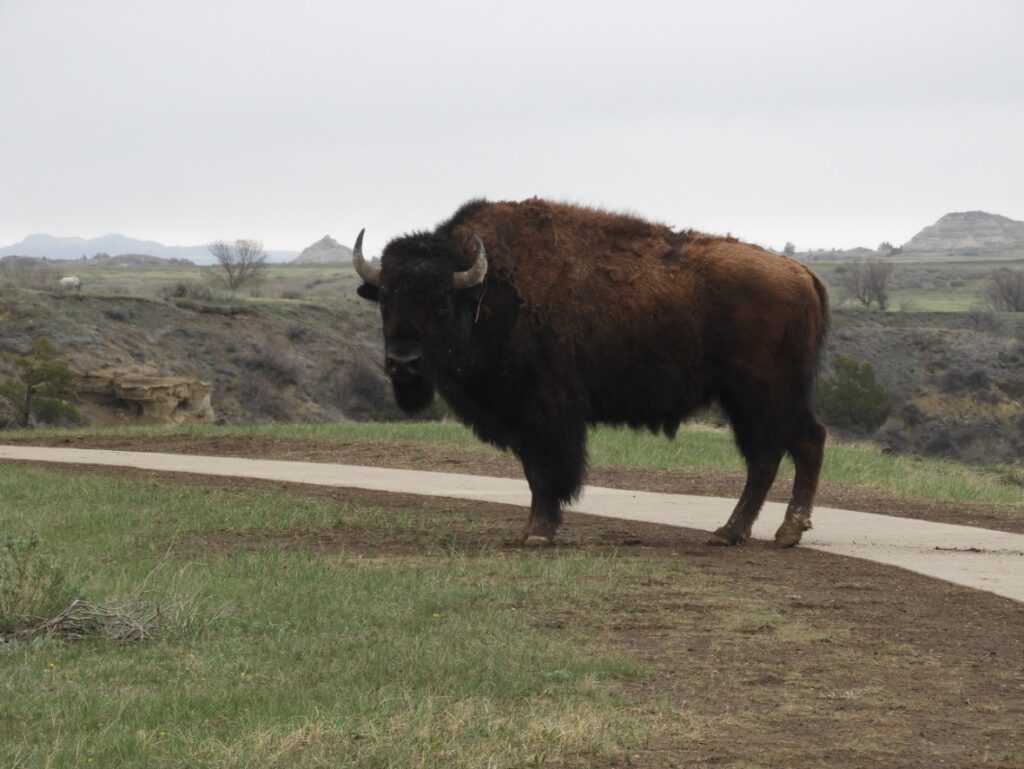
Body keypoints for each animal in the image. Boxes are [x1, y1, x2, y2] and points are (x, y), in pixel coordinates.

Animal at [354, 198, 829, 548]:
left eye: (440, 302)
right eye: (385, 299)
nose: (403, 363)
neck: (488, 291)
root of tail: (801, 272)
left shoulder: (546, 413)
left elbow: (545, 472)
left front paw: (538, 533)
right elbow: (534, 472)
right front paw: (532, 530)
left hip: (767, 393)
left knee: (805, 442)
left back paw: (786, 533)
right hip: (741, 399)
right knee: (764, 458)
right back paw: (729, 533)